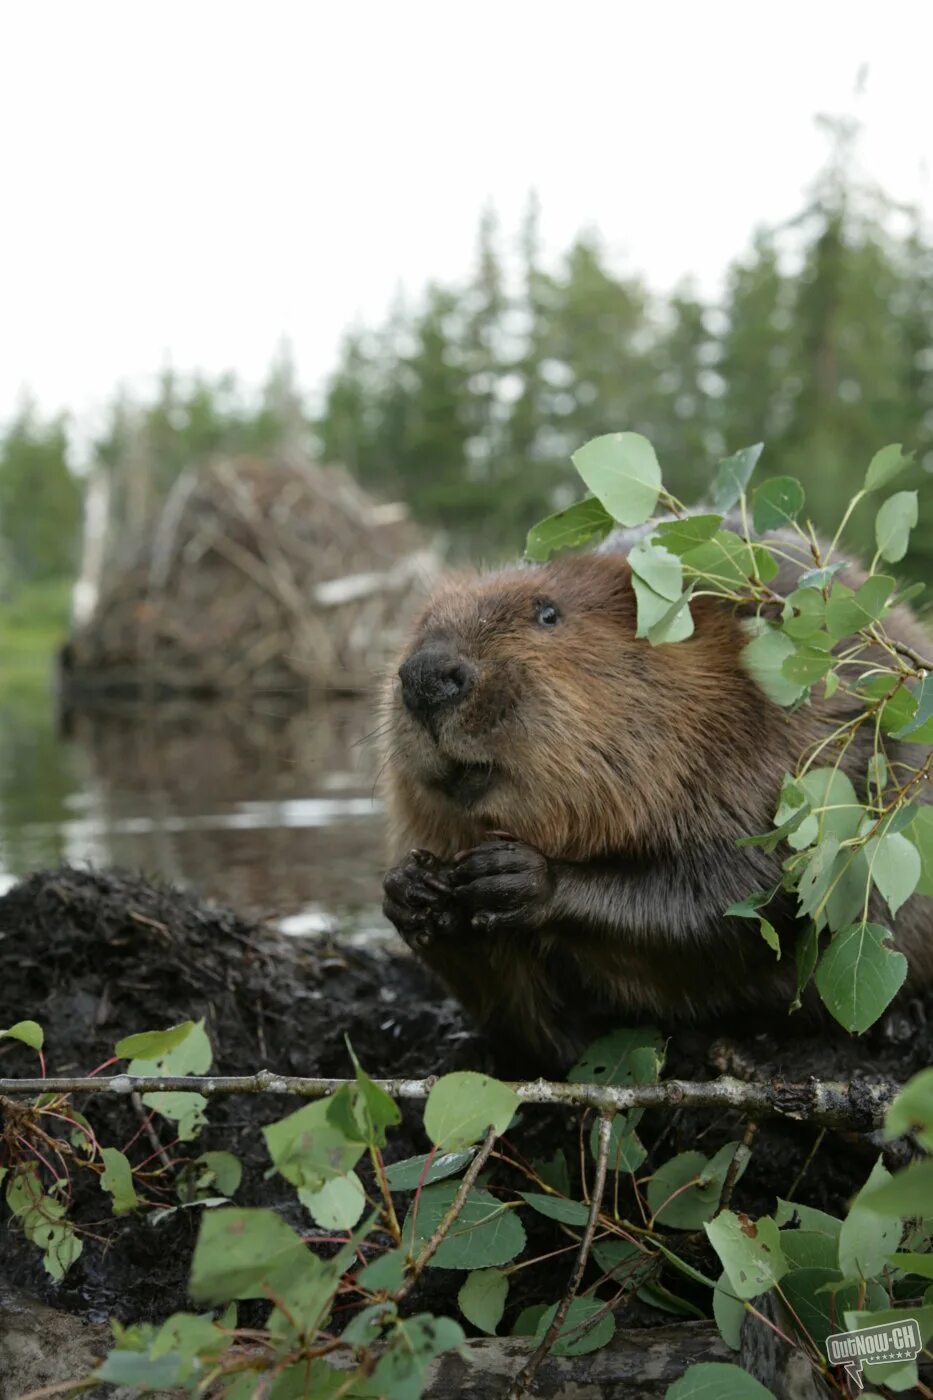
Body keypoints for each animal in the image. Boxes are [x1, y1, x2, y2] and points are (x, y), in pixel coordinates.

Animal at [378, 526, 930, 1069]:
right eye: (421, 622)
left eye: (547, 613)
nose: (427, 675)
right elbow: (536, 1030)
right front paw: (413, 890)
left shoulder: (784, 754)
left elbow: (739, 894)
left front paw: (518, 878)